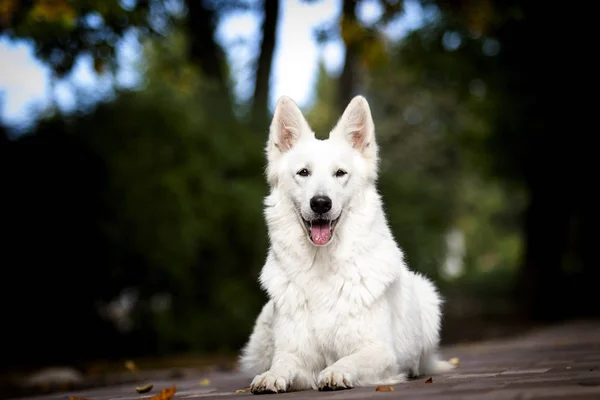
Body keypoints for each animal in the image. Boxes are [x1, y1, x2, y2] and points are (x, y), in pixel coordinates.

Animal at [237, 95, 452, 392]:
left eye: (340, 173)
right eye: (303, 172)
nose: (320, 203)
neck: (321, 264)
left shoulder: (379, 350)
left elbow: (349, 360)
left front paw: (336, 372)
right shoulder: (296, 355)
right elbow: (283, 362)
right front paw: (271, 376)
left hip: (427, 295)